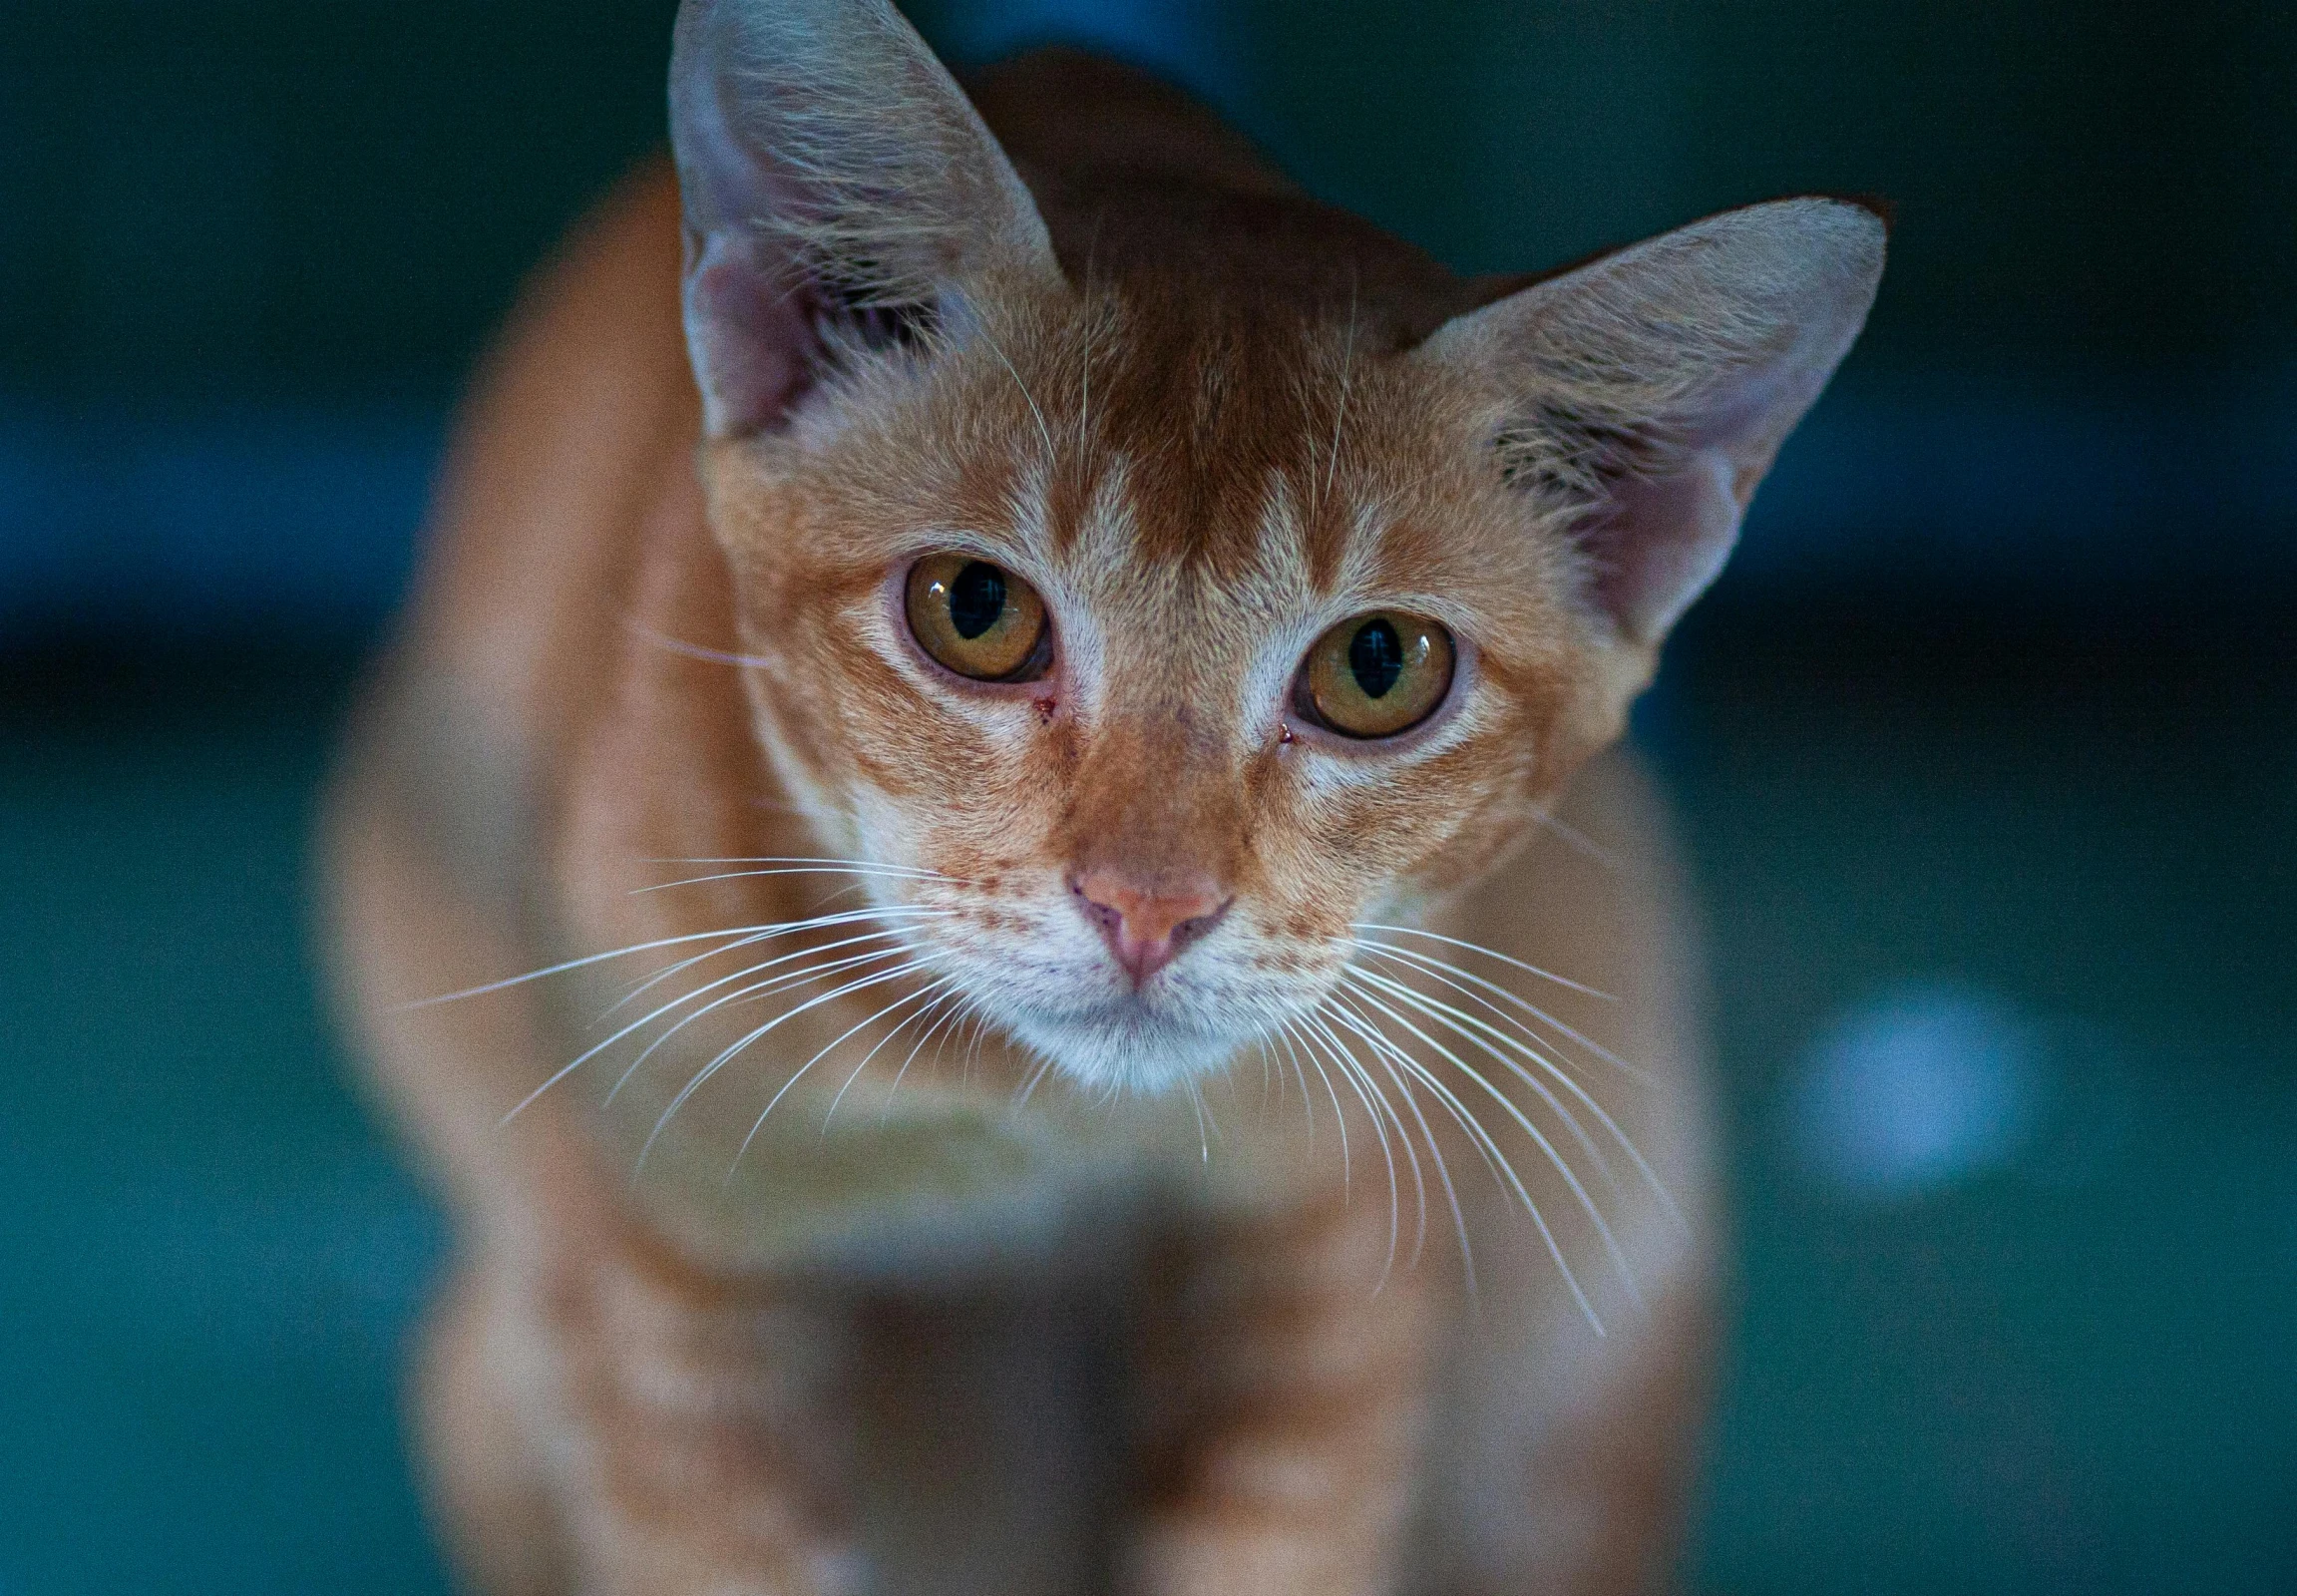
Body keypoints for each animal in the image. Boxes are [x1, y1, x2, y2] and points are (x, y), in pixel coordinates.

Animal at [314, 6, 1874, 1589]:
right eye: (973, 610)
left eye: (1378, 666)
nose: (1147, 909)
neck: (1029, 1123)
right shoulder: (656, 1286)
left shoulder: (1329, 1258)